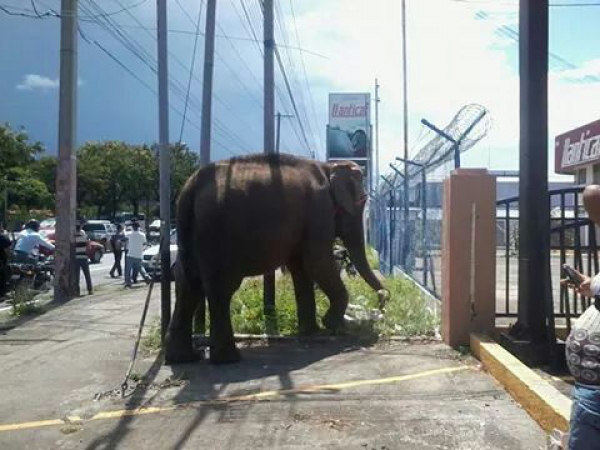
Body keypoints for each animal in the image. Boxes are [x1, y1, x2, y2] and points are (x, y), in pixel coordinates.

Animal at [165, 153, 390, 364]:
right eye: (362, 201)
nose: (382, 297)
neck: (328, 167)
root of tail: (190, 188)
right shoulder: (319, 209)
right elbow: (317, 261)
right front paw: (331, 324)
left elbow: (301, 268)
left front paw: (312, 332)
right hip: (216, 233)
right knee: (220, 288)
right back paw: (229, 359)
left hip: (191, 236)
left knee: (187, 285)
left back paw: (184, 358)